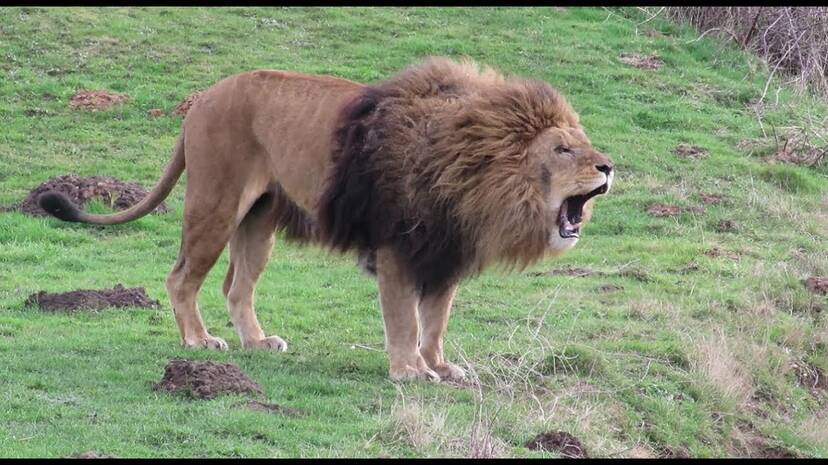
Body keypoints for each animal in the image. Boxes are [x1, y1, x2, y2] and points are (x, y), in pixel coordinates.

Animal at [38, 57, 613, 382]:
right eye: (563, 149)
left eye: (583, 143)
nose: (608, 166)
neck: (481, 172)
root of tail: (202, 99)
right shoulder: (398, 247)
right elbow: (404, 320)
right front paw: (409, 372)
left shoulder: (443, 251)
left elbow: (436, 321)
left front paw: (440, 366)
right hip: (216, 202)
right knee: (181, 277)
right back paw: (199, 342)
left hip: (259, 220)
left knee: (236, 287)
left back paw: (257, 343)